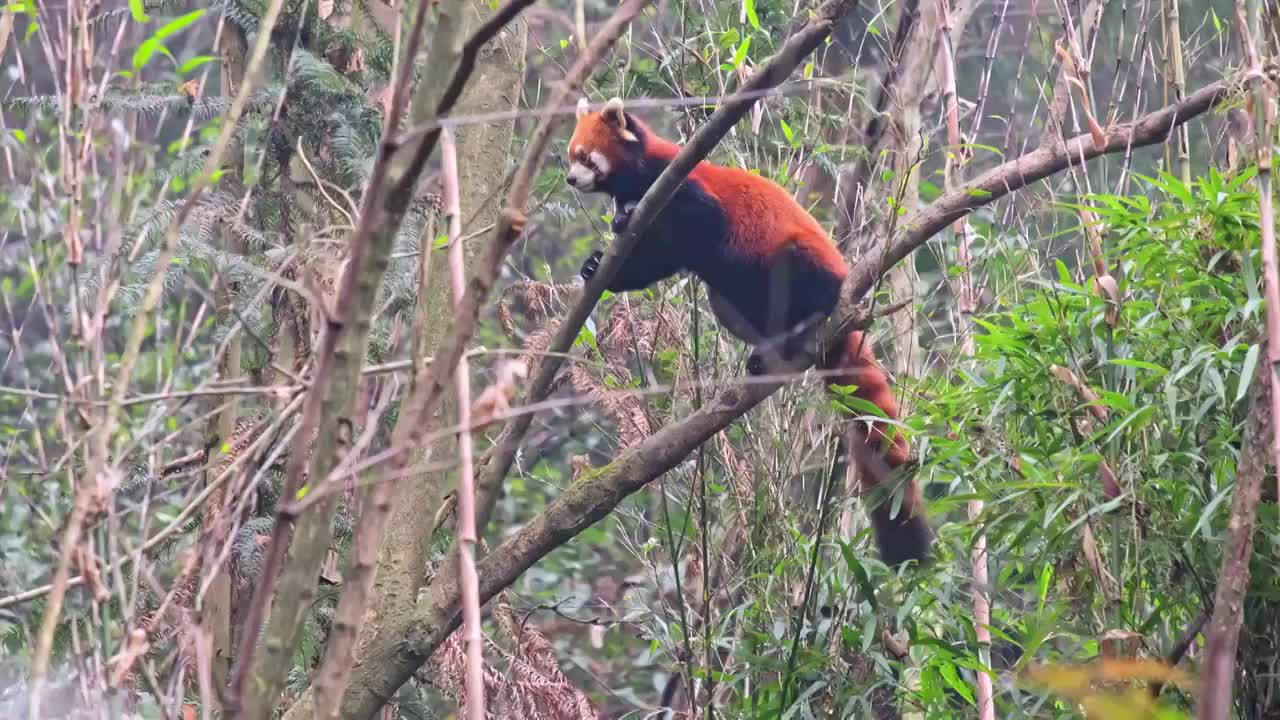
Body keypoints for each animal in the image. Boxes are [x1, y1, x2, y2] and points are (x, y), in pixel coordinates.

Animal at [568, 96, 931, 566]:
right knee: (725, 301)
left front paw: (623, 222)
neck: (643, 175)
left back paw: (804, 326)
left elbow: (698, 224)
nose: (570, 178)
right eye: (571, 155)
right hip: (735, 301)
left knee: (800, 273)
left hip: (807, 264)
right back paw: (770, 352)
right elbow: (657, 259)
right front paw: (599, 265)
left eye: (584, 157)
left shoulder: (681, 187)